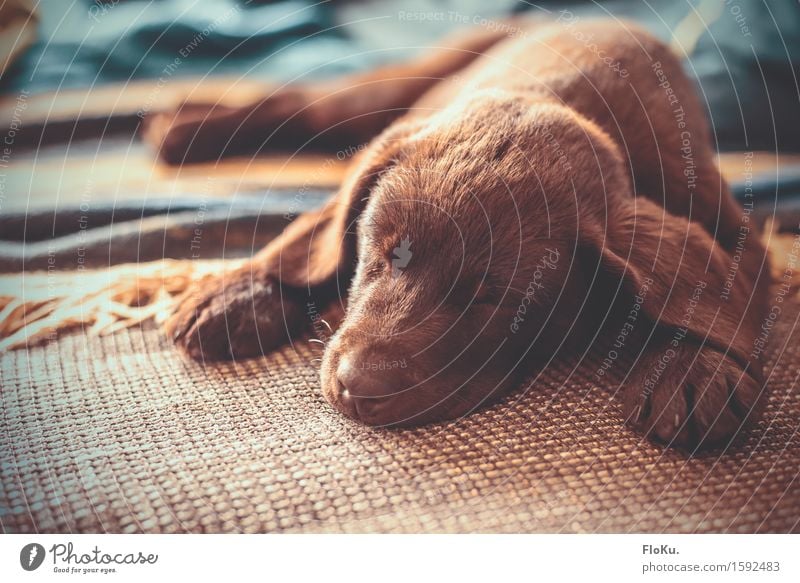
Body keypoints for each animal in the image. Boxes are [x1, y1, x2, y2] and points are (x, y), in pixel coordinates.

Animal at [147, 17, 772, 448]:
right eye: (381, 254)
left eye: (494, 300)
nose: (355, 388)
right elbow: (312, 240)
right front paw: (239, 294)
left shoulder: (725, 219)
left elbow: (713, 291)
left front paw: (693, 371)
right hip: (404, 81)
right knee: (305, 105)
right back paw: (184, 129)